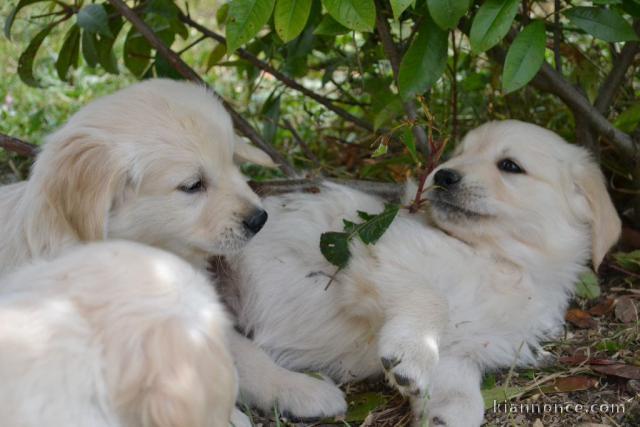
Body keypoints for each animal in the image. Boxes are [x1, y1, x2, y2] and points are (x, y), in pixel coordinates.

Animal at [229, 121, 620, 427]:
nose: (443, 175)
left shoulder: (466, 348)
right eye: (458, 153)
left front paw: (447, 413)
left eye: (510, 165)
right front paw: (411, 351)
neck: (501, 261)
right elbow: (432, 298)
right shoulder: (380, 251)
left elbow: (459, 387)